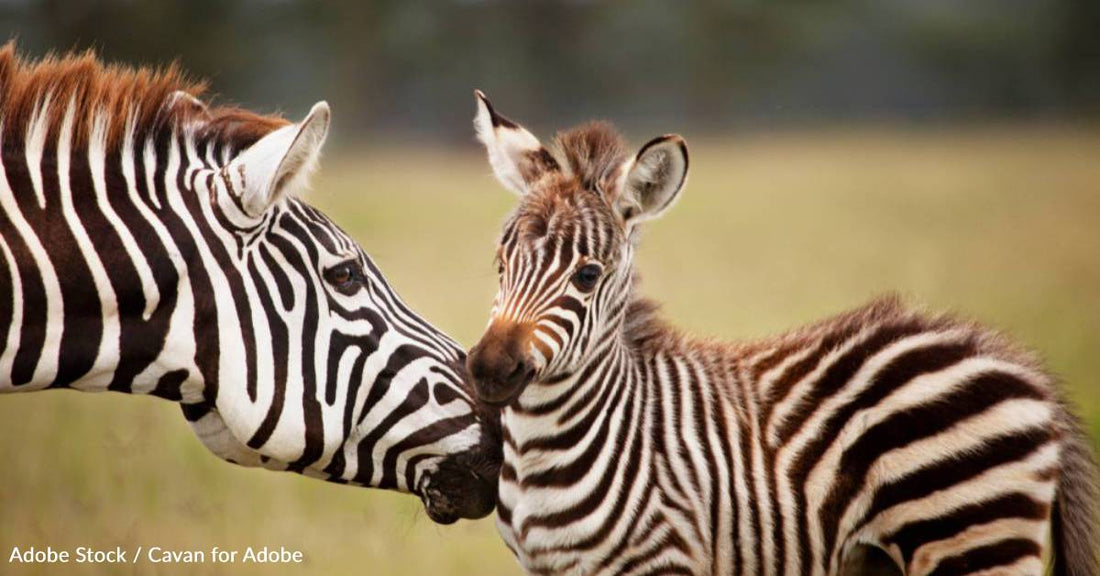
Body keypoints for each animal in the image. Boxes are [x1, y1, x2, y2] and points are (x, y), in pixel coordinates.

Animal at [466, 92, 1100, 571]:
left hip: (971, 536)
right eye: (499, 262)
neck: (549, 447)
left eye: (587, 275)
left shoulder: (663, 557)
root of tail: (1015, 363)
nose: (488, 370)